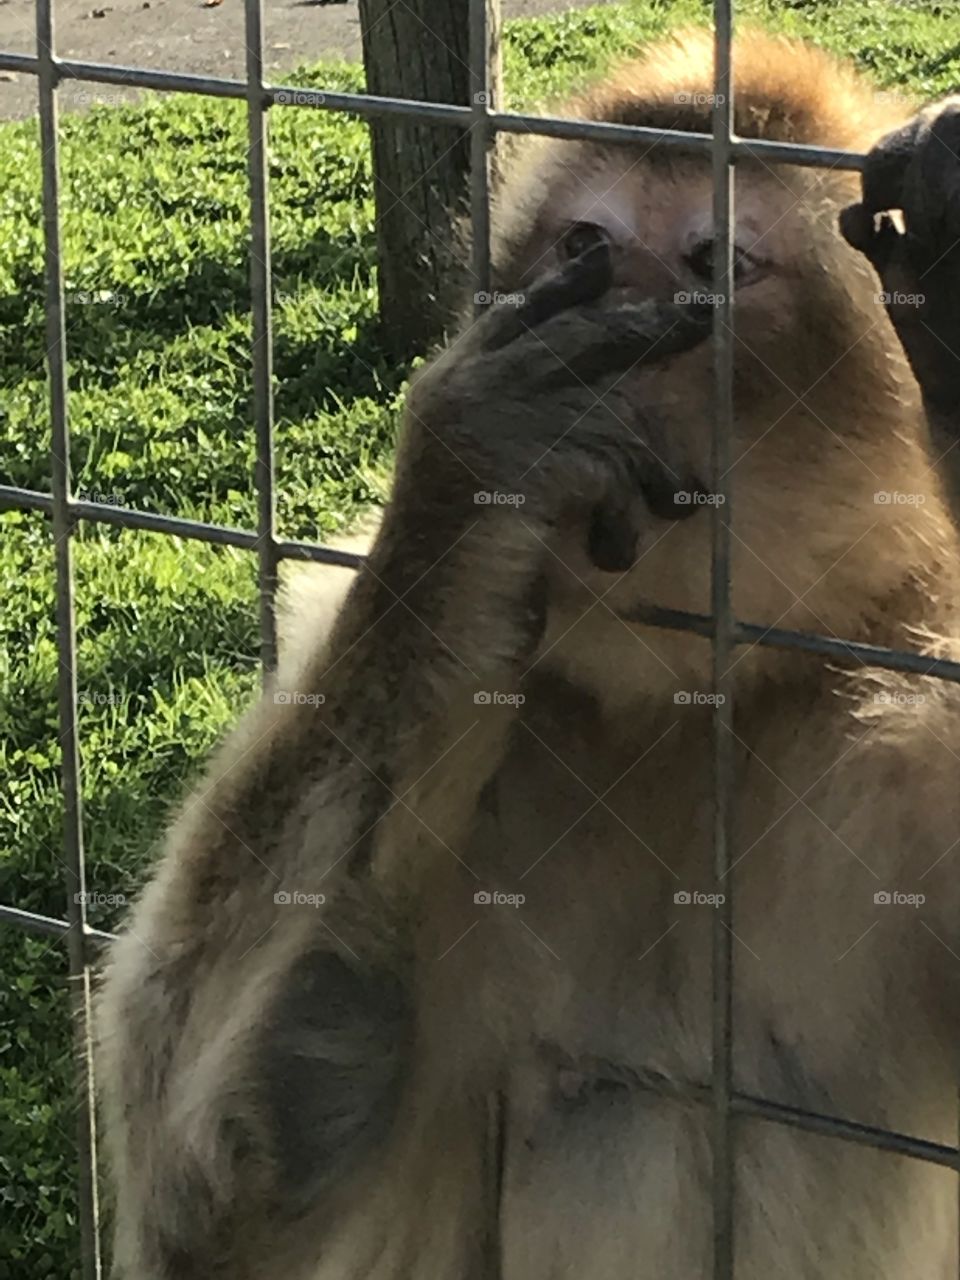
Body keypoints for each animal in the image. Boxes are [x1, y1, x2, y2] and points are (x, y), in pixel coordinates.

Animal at [96, 25, 960, 1280]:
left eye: (715, 261)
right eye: (587, 245)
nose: (618, 340)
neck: (677, 704)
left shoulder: (901, 711)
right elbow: (210, 1180)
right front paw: (470, 471)